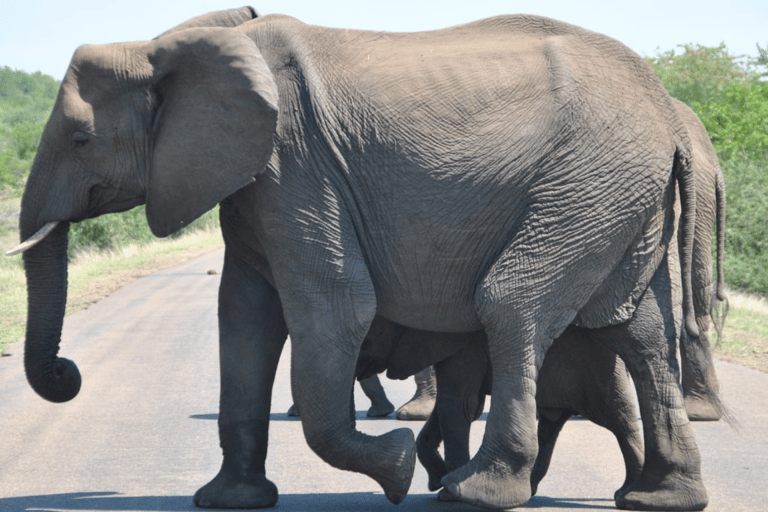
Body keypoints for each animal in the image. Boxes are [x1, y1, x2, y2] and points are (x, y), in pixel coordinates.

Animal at [356, 320, 644, 500]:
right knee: (551, 423)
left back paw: (628, 491)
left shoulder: (464, 346)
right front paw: (438, 482)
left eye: (366, 341)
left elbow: (458, 404)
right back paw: (526, 488)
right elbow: (457, 406)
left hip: (597, 367)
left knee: (618, 418)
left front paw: (447, 493)